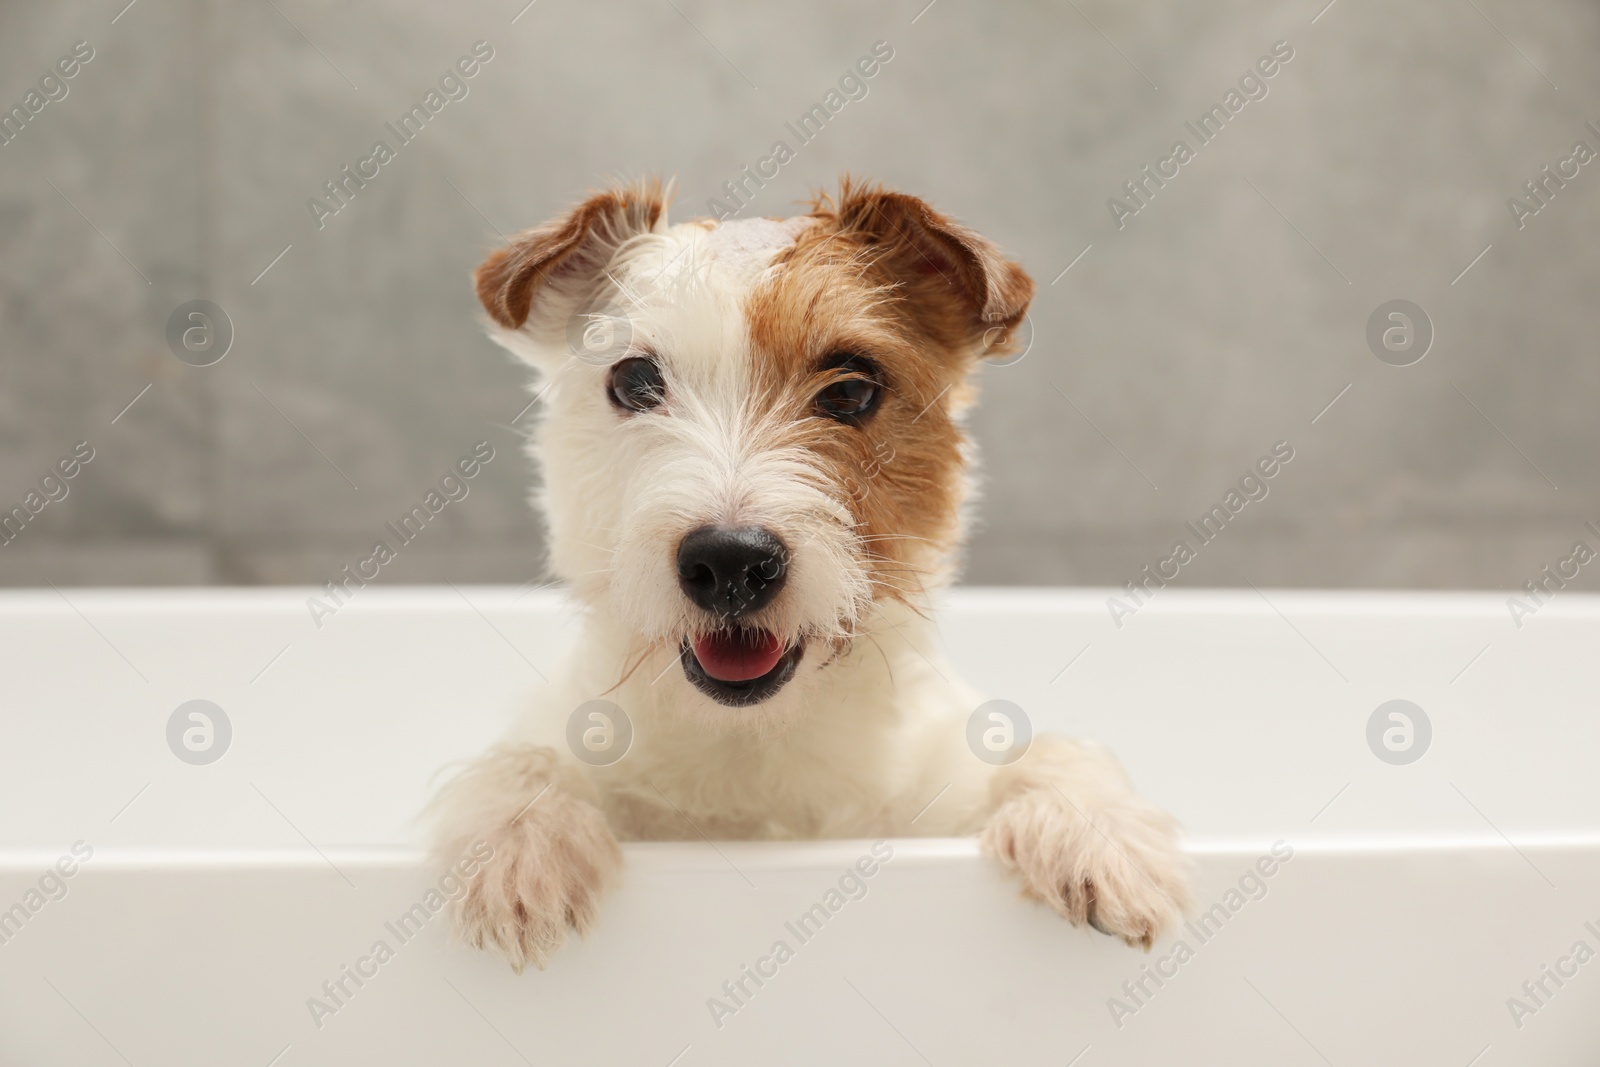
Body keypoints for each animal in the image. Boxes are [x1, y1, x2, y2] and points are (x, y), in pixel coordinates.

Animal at [432, 179, 1196, 972]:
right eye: (635, 380)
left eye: (851, 391)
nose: (730, 562)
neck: (757, 744)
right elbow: (526, 758)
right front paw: (521, 842)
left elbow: (1041, 753)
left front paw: (1100, 832)